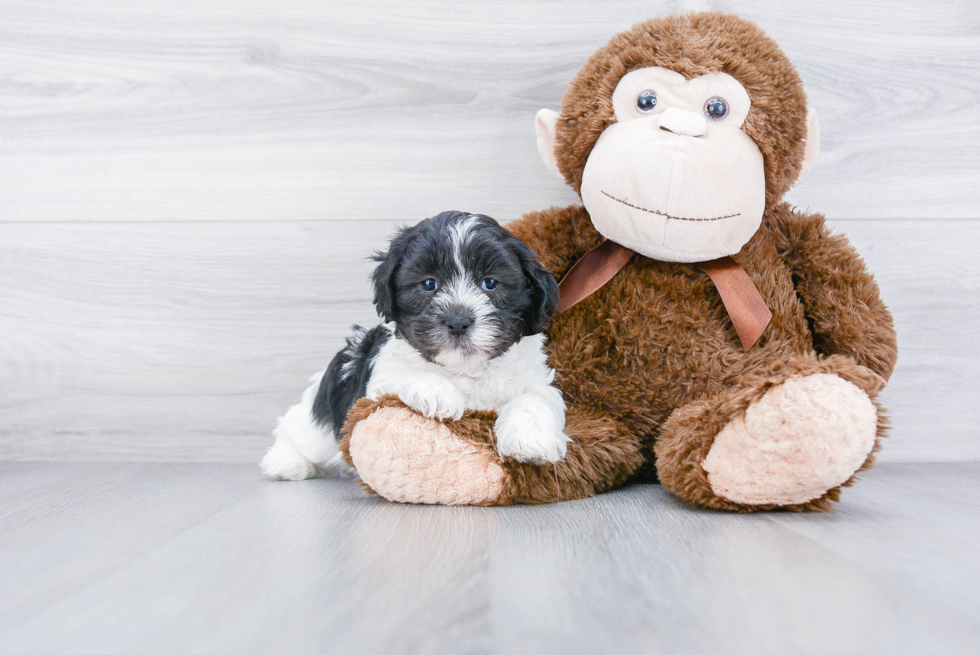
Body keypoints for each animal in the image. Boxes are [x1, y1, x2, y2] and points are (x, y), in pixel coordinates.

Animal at [260, 211, 568, 482]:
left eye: (490, 283)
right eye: (429, 284)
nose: (458, 321)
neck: (464, 369)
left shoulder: (536, 379)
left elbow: (535, 398)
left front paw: (529, 440)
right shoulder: (377, 380)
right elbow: (403, 374)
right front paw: (438, 392)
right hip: (315, 425)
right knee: (293, 428)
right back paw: (286, 462)